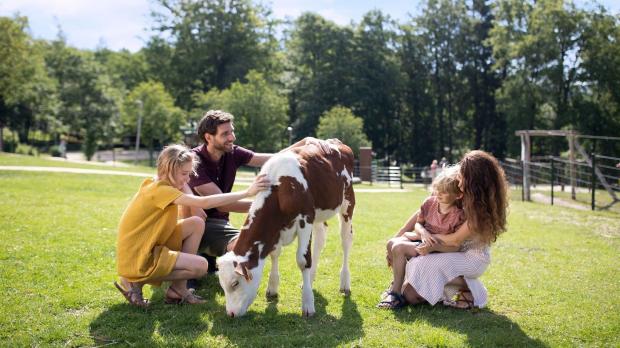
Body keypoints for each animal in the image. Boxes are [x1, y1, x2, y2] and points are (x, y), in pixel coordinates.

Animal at [217, 139, 354, 318]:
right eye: (222, 284)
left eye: (235, 283)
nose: (230, 313)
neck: (279, 187)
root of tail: (335, 142)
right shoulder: (277, 229)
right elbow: (275, 254)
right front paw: (272, 288)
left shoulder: (305, 219)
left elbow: (303, 260)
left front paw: (308, 303)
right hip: (319, 214)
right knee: (320, 240)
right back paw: (310, 278)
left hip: (348, 203)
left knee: (345, 241)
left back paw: (344, 283)